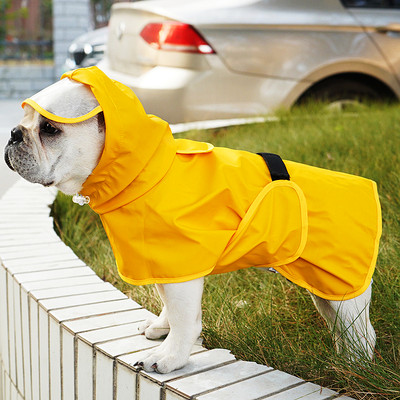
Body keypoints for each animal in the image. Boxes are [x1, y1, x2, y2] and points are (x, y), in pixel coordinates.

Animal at [5, 67, 382, 374]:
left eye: (49, 129)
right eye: (24, 122)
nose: (13, 133)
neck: (144, 172)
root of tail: (368, 188)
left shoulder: (180, 267)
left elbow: (184, 317)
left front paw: (170, 357)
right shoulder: (161, 264)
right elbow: (167, 305)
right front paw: (161, 328)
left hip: (341, 284)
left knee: (359, 331)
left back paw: (354, 367)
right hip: (322, 286)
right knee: (346, 326)